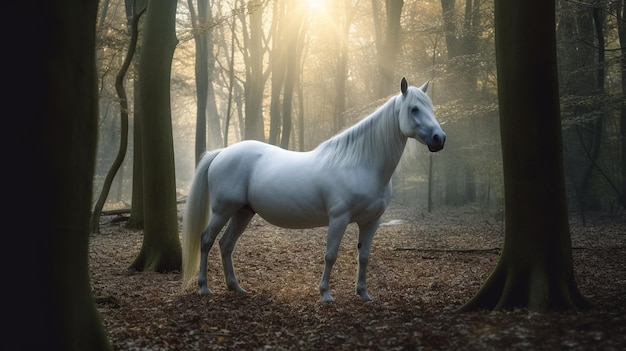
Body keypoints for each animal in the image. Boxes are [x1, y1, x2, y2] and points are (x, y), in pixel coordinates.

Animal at [180, 77, 444, 302]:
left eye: (430, 107)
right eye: (414, 109)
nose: (439, 139)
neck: (361, 164)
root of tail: (221, 152)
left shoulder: (371, 221)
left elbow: (364, 256)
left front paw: (363, 293)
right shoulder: (339, 219)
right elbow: (331, 255)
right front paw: (325, 294)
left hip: (243, 212)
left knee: (226, 244)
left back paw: (235, 287)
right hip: (223, 210)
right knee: (207, 240)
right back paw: (204, 287)